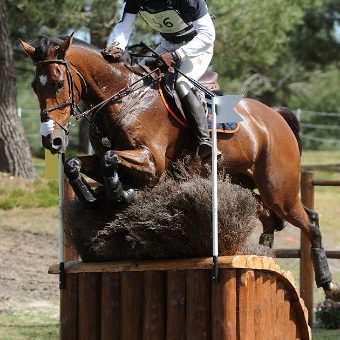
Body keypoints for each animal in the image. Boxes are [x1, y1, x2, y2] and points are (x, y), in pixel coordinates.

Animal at [20, 34, 340, 300]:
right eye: (34, 86)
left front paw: (122, 194)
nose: (52, 139)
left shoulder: (152, 162)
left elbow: (112, 159)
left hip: (278, 189)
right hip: (242, 181)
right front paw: (92, 196)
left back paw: (328, 284)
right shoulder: (107, 159)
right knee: (266, 214)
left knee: (309, 221)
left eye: (58, 83)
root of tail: (274, 115)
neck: (123, 96)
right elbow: (77, 163)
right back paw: (265, 250)